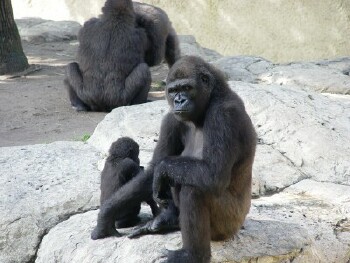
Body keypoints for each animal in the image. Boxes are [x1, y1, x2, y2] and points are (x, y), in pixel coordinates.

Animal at [90, 55, 256, 263]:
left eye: (186, 88)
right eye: (173, 91)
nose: (179, 100)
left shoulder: (224, 115)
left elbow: (212, 174)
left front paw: (163, 168)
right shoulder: (171, 119)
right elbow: (152, 172)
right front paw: (106, 215)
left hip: (230, 224)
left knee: (194, 189)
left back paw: (192, 255)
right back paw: (168, 221)